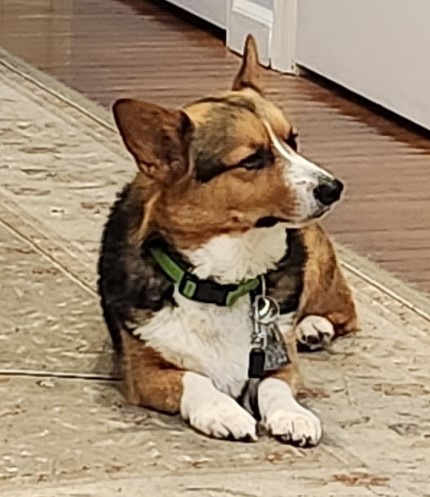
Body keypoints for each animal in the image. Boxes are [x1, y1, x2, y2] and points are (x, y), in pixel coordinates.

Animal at [97, 35, 356, 446]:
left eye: (293, 140)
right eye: (251, 160)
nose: (334, 188)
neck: (225, 281)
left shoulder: (280, 363)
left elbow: (275, 386)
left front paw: (294, 416)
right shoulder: (144, 371)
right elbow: (194, 379)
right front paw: (225, 412)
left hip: (314, 257)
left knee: (341, 309)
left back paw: (313, 327)